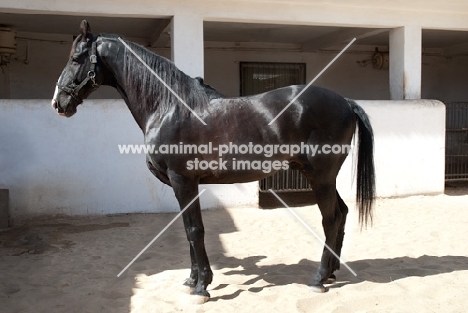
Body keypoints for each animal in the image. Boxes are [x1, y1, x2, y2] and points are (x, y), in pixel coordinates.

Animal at [51, 20, 374, 300]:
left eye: (77, 58)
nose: (58, 103)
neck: (169, 107)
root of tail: (346, 103)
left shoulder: (183, 181)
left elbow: (195, 230)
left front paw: (202, 287)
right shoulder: (182, 185)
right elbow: (188, 230)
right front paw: (192, 279)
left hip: (320, 177)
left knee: (331, 219)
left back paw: (319, 279)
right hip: (324, 178)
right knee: (342, 213)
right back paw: (332, 273)